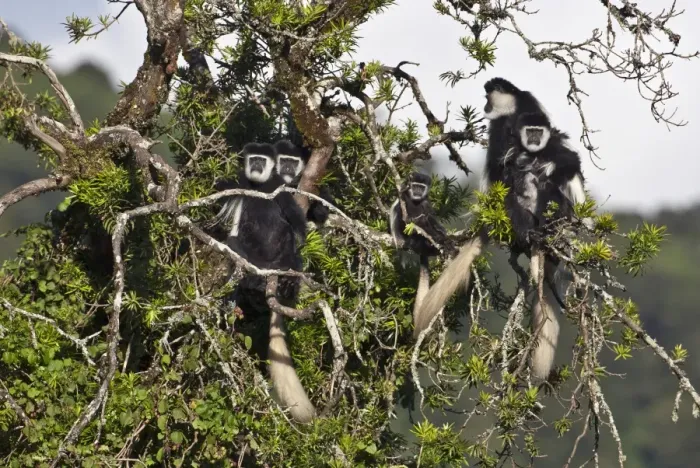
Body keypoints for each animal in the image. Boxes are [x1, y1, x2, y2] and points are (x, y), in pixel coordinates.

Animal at [215, 142, 315, 423]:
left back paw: (286, 283)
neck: (259, 188)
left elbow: (298, 226)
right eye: (253, 160)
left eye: (262, 160)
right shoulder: (241, 187)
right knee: (235, 243)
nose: (257, 167)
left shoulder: (278, 189)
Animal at [389, 173, 455, 329]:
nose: (418, 192)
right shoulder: (404, 198)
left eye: (421, 187)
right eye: (415, 186)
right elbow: (407, 218)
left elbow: (430, 215)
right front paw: (441, 239)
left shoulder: (426, 202)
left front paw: (444, 235)